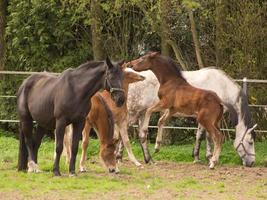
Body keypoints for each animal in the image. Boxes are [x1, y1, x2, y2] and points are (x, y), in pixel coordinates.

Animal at [124, 67, 258, 167]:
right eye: (250, 142)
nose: (252, 163)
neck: (222, 87)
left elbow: (200, 135)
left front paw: (198, 156)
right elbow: (208, 137)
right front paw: (208, 158)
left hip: (142, 113)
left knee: (141, 134)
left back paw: (148, 159)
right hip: (133, 112)